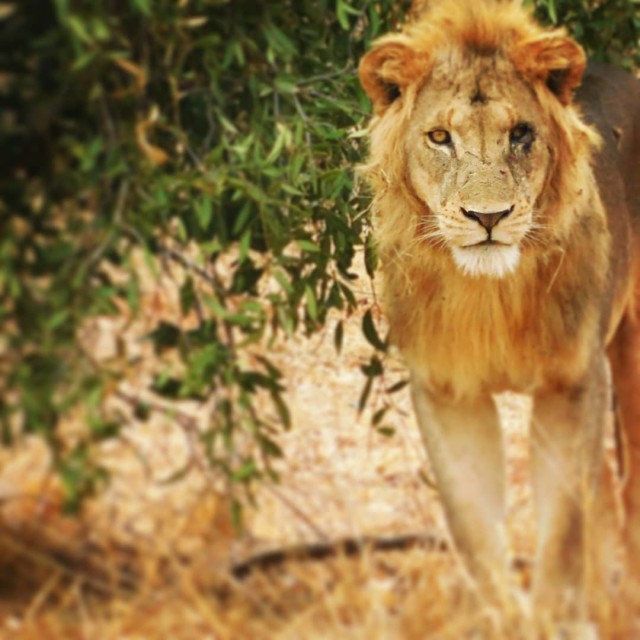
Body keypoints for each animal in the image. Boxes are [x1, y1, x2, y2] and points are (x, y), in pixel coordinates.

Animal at [360, 0, 640, 612]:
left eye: (521, 133)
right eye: (440, 136)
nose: (487, 217)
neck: (490, 297)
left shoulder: (572, 383)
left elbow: (562, 534)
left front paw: (558, 617)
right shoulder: (446, 392)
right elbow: (474, 530)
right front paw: (504, 616)